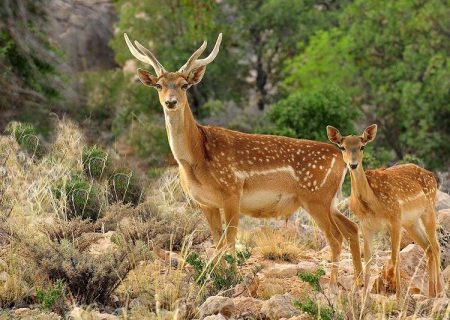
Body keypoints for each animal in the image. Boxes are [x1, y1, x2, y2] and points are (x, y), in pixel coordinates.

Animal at [125, 32, 364, 288]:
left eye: (184, 85)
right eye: (158, 85)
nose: (171, 102)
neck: (196, 159)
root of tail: (341, 158)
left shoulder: (232, 191)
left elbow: (228, 241)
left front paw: (229, 278)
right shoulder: (206, 203)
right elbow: (217, 240)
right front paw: (216, 277)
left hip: (316, 197)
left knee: (336, 237)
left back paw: (333, 284)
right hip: (329, 200)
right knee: (351, 228)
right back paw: (358, 281)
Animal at [326, 124, 442, 298]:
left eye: (362, 146)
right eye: (342, 147)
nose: (353, 165)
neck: (373, 204)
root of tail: (432, 175)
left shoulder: (394, 219)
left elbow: (395, 257)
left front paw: (399, 297)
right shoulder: (365, 225)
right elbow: (368, 259)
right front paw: (364, 296)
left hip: (428, 209)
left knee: (436, 247)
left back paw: (440, 292)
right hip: (411, 222)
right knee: (427, 247)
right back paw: (430, 293)